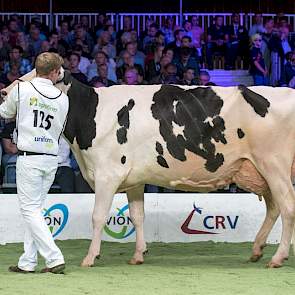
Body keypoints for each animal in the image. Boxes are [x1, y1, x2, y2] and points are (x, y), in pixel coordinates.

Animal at [3, 70, 295, 270]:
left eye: (34, 76)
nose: (4, 92)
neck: (92, 114)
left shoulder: (107, 174)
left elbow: (98, 217)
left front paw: (90, 257)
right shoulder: (134, 180)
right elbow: (137, 216)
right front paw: (138, 255)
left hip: (274, 165)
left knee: (287, 207)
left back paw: (278, 257)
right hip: (261, 170)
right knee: (274, 207)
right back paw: (257, 250)